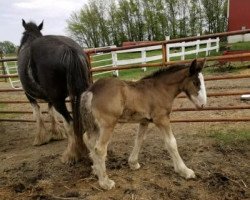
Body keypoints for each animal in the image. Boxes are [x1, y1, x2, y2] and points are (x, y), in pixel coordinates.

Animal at [18, 19, 91, 164]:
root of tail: (68, 48)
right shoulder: (50, 98)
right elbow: (51, 112)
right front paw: (56, 133)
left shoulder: (29, 96)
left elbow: (38, 114)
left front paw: (41, 138)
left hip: (58, 100)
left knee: (70, 123)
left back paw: (72, 155)